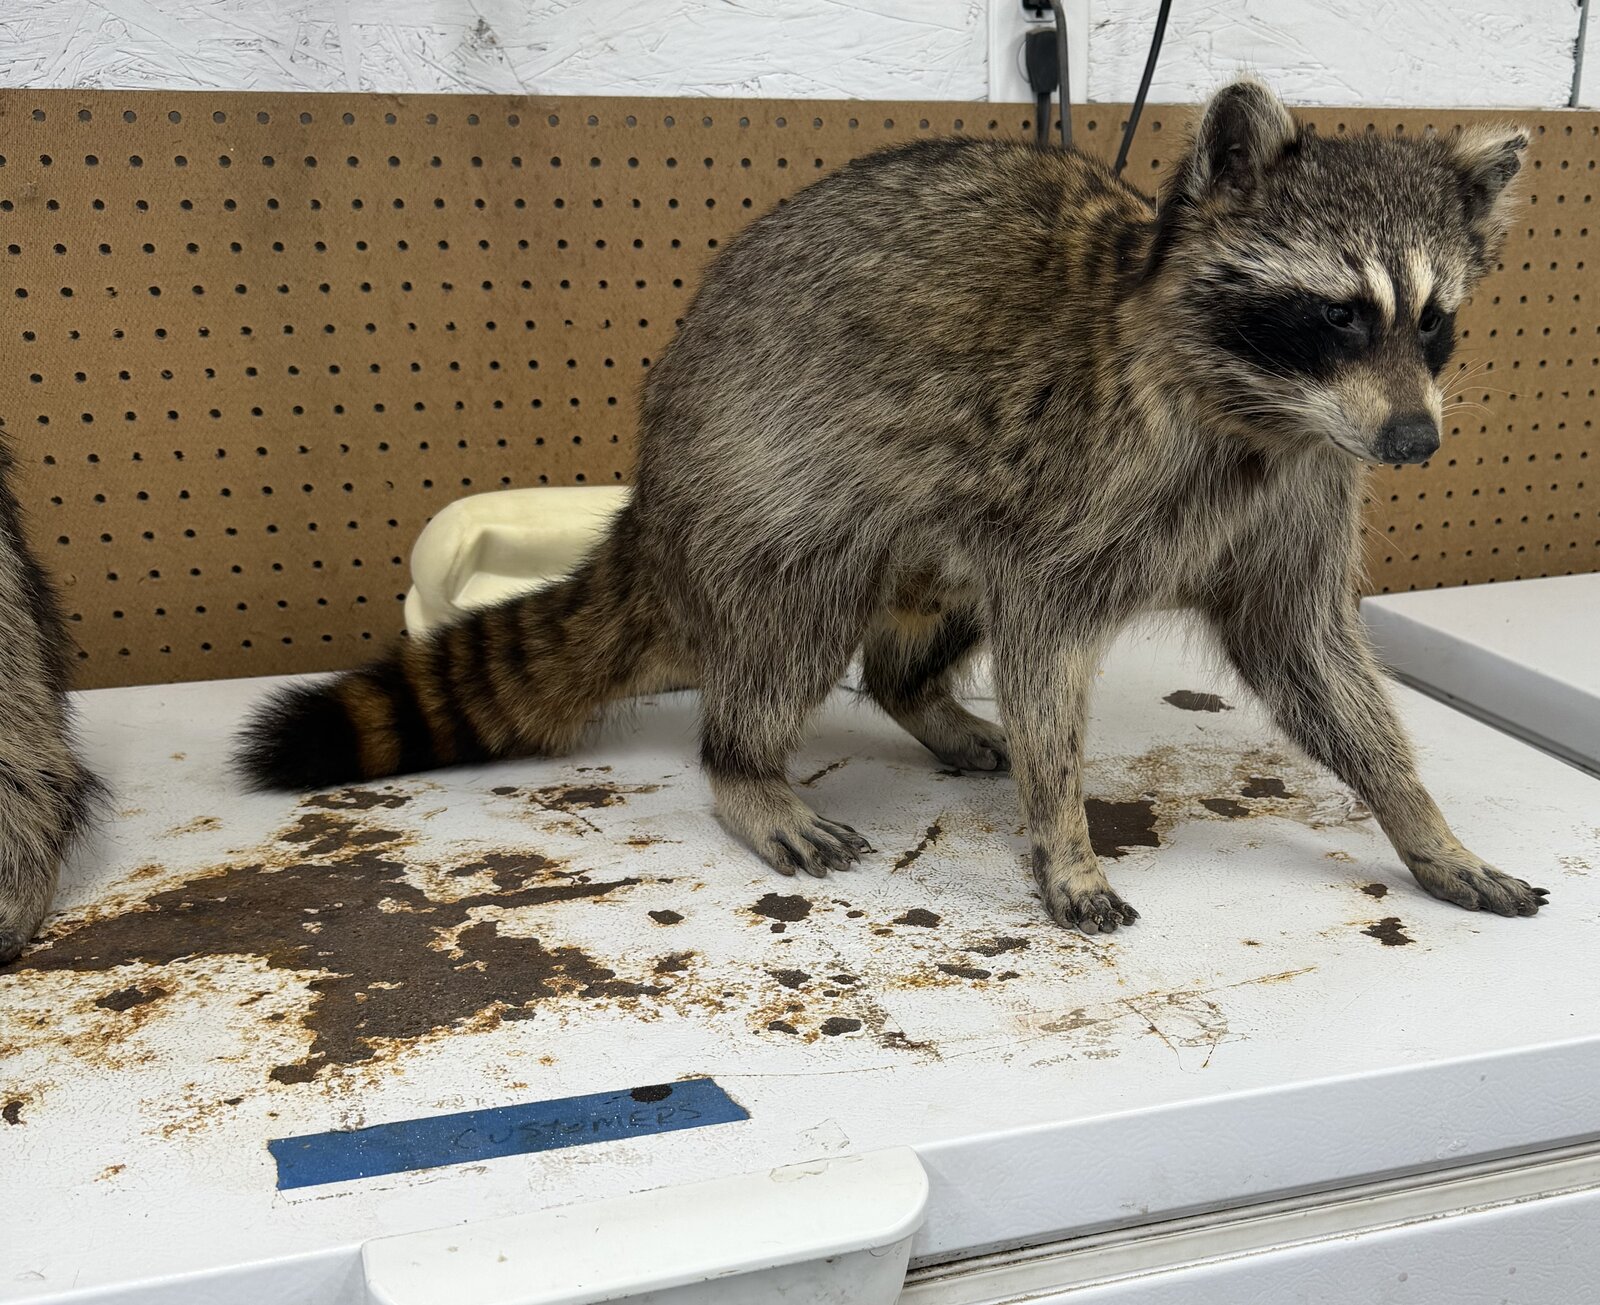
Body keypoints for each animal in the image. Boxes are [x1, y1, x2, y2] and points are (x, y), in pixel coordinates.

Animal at [237, 79, 1547, 933]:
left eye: (1434, 322)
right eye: (1337, 314)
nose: (1416, 441)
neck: (1259, 411)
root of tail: (652, 499)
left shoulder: (1303, 489)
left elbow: (1312, 656)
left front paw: (1418, 816)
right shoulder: (1084, 478)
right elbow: (1045, 643)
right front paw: (1061, 827)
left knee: (931, 609)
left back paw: (920, 695)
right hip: (772, 484)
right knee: (797, 625)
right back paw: (744, 765)